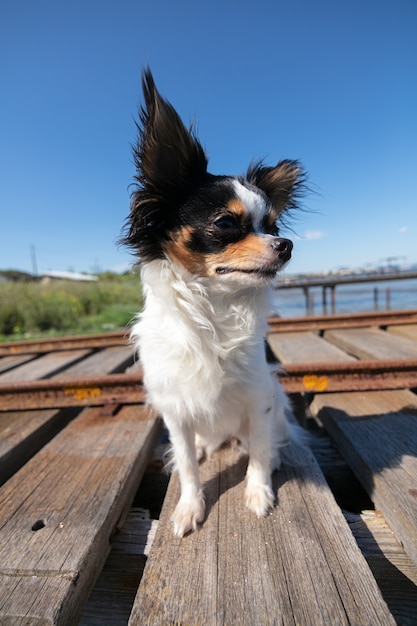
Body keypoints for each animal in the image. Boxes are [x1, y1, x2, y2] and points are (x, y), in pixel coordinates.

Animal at [120, 69, 306, 536]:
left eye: (272, 225)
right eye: (226, 223)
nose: (287, 244)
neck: (215, 307)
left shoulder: (260, 397)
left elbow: (258, 450)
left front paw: (259, 491)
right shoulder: (174, 410)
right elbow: (187, 464)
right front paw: (190, 506)